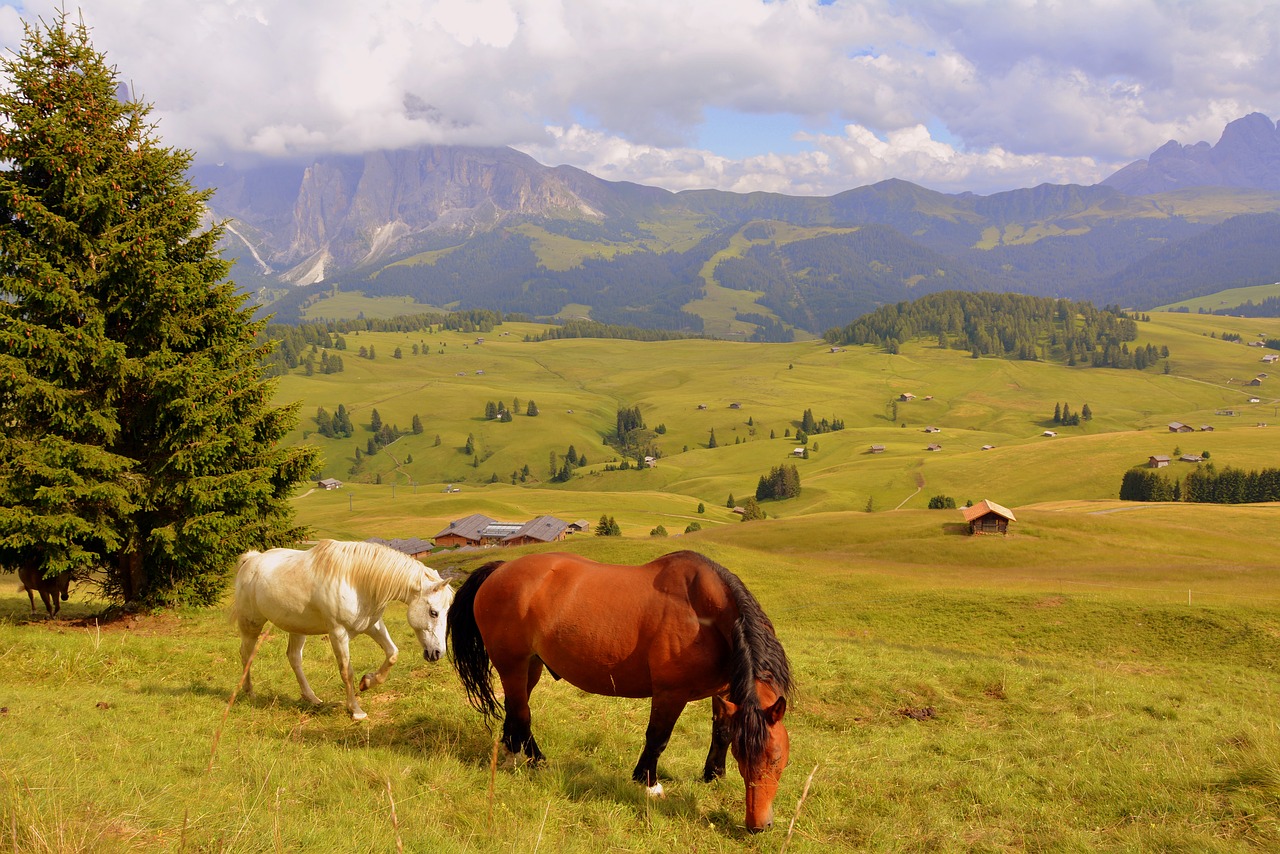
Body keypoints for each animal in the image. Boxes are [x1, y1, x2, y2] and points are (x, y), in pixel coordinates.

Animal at [235, 540, 455, 722]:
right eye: (434, 612)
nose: (437, 653)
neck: (356, 581)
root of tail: (251, 560)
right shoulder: (338, 634)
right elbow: (346, 671)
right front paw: (356, 710)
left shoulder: (373, 625)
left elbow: (392, 654)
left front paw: (367, 682)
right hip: (252, 624)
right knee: (246, 653)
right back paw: (249, 692)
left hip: (297, 628)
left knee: (294, 657)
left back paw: (311, 697)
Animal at [448, 547, 788, 834]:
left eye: (776, 759)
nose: (758, 825)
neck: (705, 615)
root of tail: (500, 569)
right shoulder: (670, 693)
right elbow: (658, 738)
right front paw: (648, 783)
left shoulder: (725, 692)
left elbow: (722, 731)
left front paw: (713, 774)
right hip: (513, 665)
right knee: (522, 713)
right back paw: (536, 760)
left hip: (530, 666)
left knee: (515, 709)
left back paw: (510, 752)